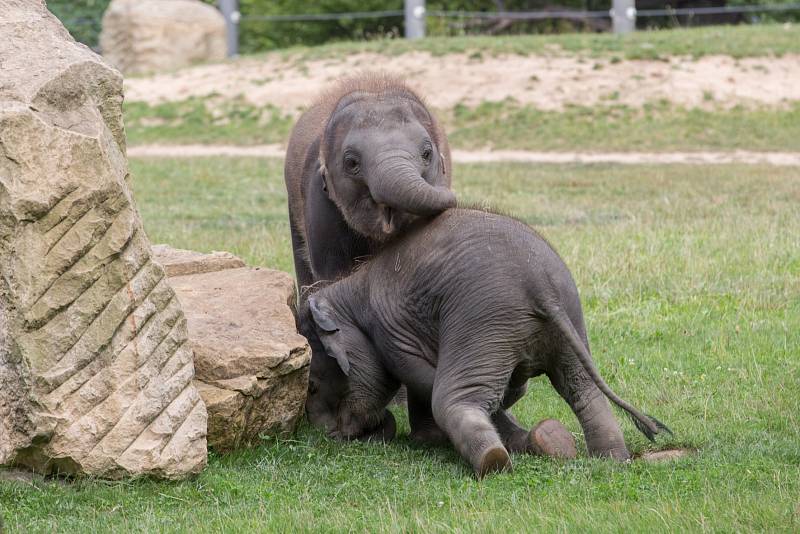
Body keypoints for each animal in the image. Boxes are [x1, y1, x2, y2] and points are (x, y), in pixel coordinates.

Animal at [298, 208, 668, 478]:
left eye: (312, 386)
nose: (329, 437)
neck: (349, 287)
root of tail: (539, 285)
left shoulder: (392, 331)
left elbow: (418, 382)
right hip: (566, 320)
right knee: (583, 391)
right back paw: (607, 458)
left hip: (482, 319)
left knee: (451, 399)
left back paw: (494, 463)